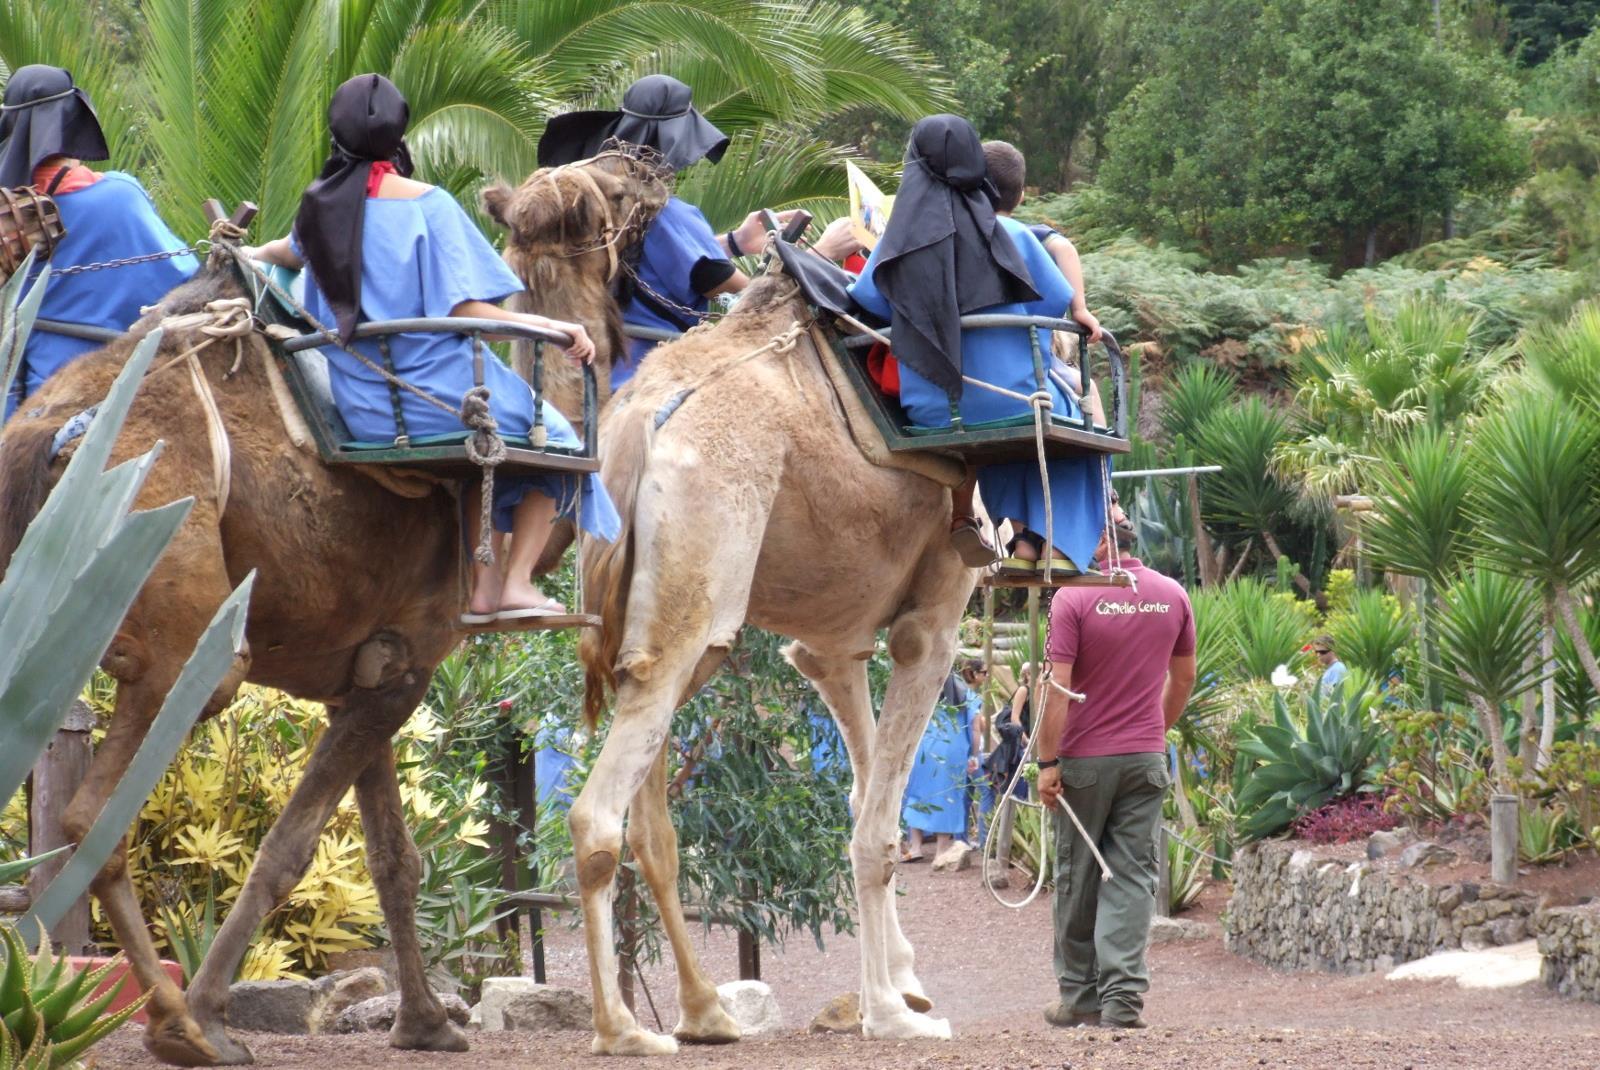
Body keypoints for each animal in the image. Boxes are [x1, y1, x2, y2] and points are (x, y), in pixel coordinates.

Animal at [0, 147, 668, 1062]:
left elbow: (394, 859)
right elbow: (291, 848)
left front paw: (426, 1023)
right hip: (181, 639)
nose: (649, 167)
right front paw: (209, 1008)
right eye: (612, 195)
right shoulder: (410, 665)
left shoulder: (373, 666)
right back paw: (180, 1026)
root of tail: (48, 435)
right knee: (93, 813)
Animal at [480, 163, 979, 1049]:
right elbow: (878, 823)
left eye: (543, 258)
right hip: (694, 618)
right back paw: (623, 1027)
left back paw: (703, 1011)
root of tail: (633, 432)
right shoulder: (933, 619)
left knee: (644, 819)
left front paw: (903, 986)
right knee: (596, 817)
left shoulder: (829, 641)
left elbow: (857, 797)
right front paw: (894, 1013)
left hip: (670, 633)